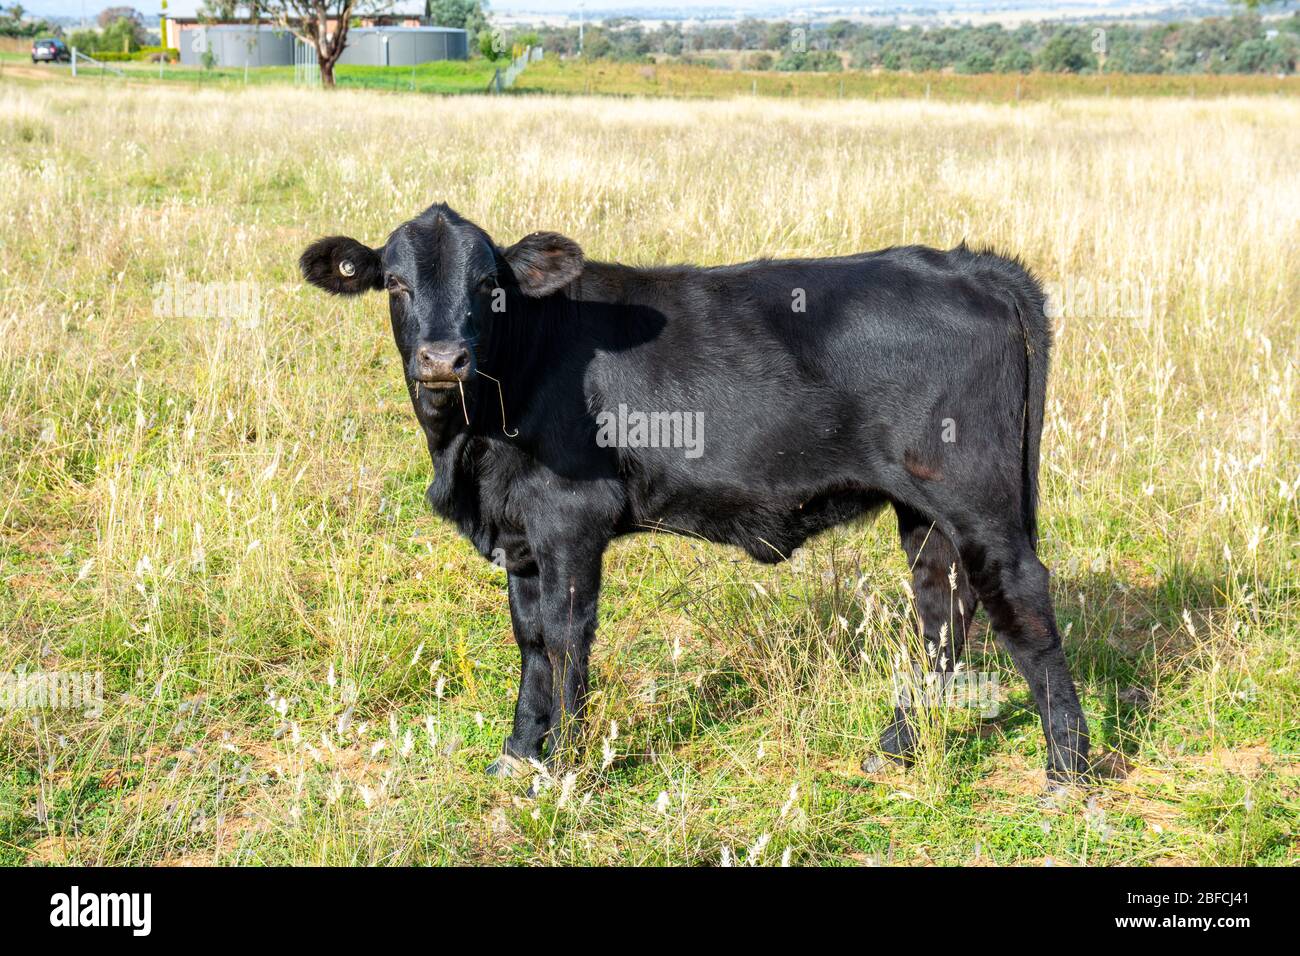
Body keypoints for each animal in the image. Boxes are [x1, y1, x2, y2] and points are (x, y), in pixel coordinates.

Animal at [299, 201, 1092, 785]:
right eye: (395, 283)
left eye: (487, 285)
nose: (443, 359)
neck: (472, 443)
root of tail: (970, 264)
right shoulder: (519, 532)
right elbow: (529, 641)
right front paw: (520, 754)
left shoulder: (569, 520)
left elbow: (564, 638)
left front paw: (565, 770)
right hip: (922, 509)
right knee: (943, 607)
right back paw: (895, 745)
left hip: (974, 494)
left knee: (1019, 596)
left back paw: (1069, 765)